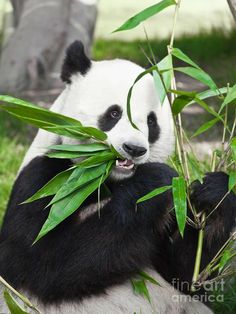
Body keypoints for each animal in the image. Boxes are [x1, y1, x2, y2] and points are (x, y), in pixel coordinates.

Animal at [0, 40, 235, 312]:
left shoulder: (171, 210)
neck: (109, 178)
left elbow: (188, 275)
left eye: (151, 122)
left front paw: (214, 194)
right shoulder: (45, 180)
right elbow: (42, 264)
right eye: (114, 114)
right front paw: (154, 180)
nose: (134, 149)